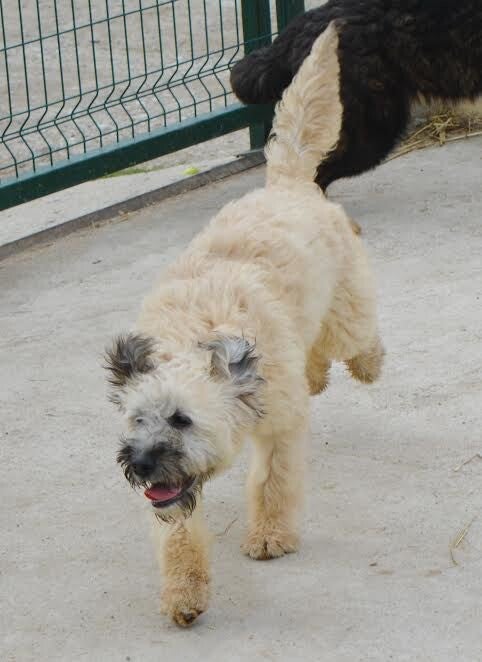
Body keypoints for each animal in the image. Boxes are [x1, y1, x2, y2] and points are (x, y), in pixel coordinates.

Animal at [104, 25, 383, 628]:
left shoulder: (278, 428)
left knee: (356, 336)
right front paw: (184, 592)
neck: (199, 338)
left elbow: (273, 483)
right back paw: (316, 374)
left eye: (182, 420)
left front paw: (272, 536)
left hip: (346, 306)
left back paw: (368, 362)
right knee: (314, 352)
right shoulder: (172, 495)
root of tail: (286, 182)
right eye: (137, 419)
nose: (140, 463)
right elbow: (178, 532)